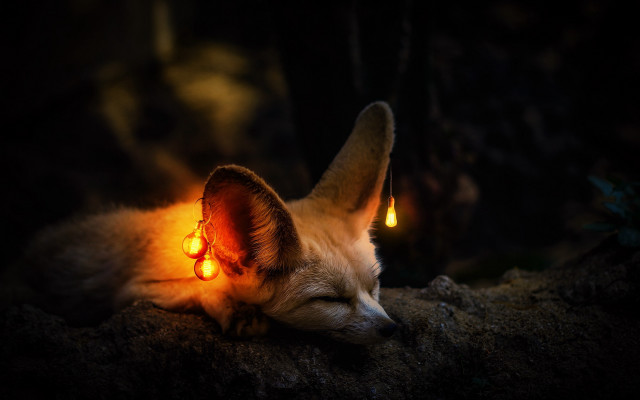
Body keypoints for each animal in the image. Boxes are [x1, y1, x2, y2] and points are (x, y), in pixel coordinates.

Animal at [15, 101, 397, 344]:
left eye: (376, 284)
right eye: (330, 300)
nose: (391, 329)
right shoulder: (128, 291)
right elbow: (192, 288)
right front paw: (232, 307)